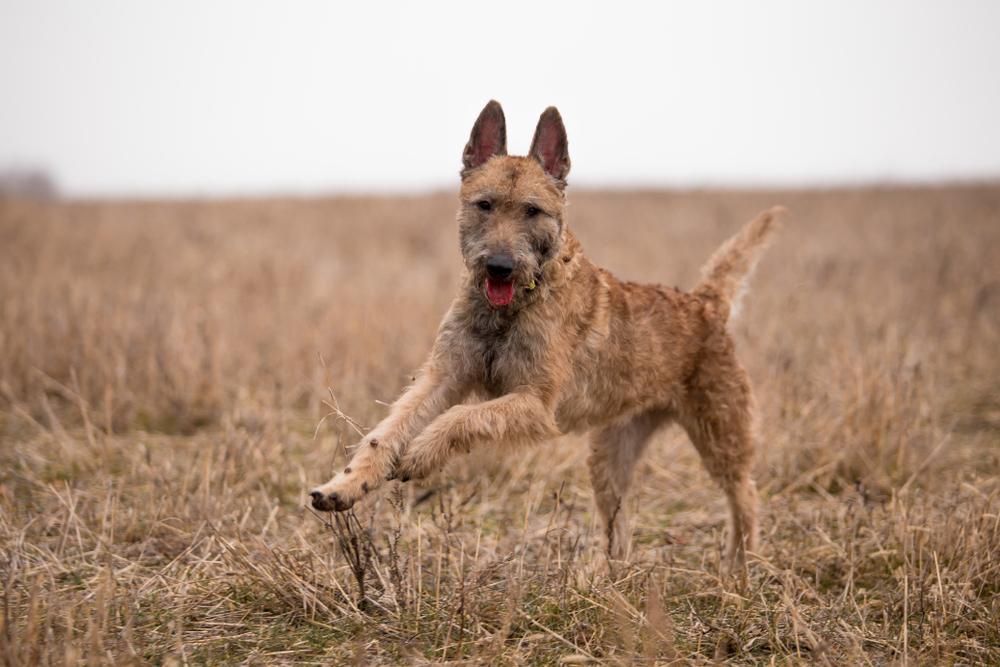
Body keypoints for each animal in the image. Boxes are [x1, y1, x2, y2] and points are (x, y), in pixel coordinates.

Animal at [306, 100, 780, 568]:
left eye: (532, 211)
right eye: (484, 204)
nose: (499, 266)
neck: (511, 309)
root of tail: (706, 303)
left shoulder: (536, 404)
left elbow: (460, 418)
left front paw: (421, 454)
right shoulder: (443, 377)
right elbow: (383, 434)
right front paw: (342, 487)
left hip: (722, 436)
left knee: (746, 496)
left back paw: (740, 568)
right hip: (609, 456)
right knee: (620, 525)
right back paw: (610, 577)